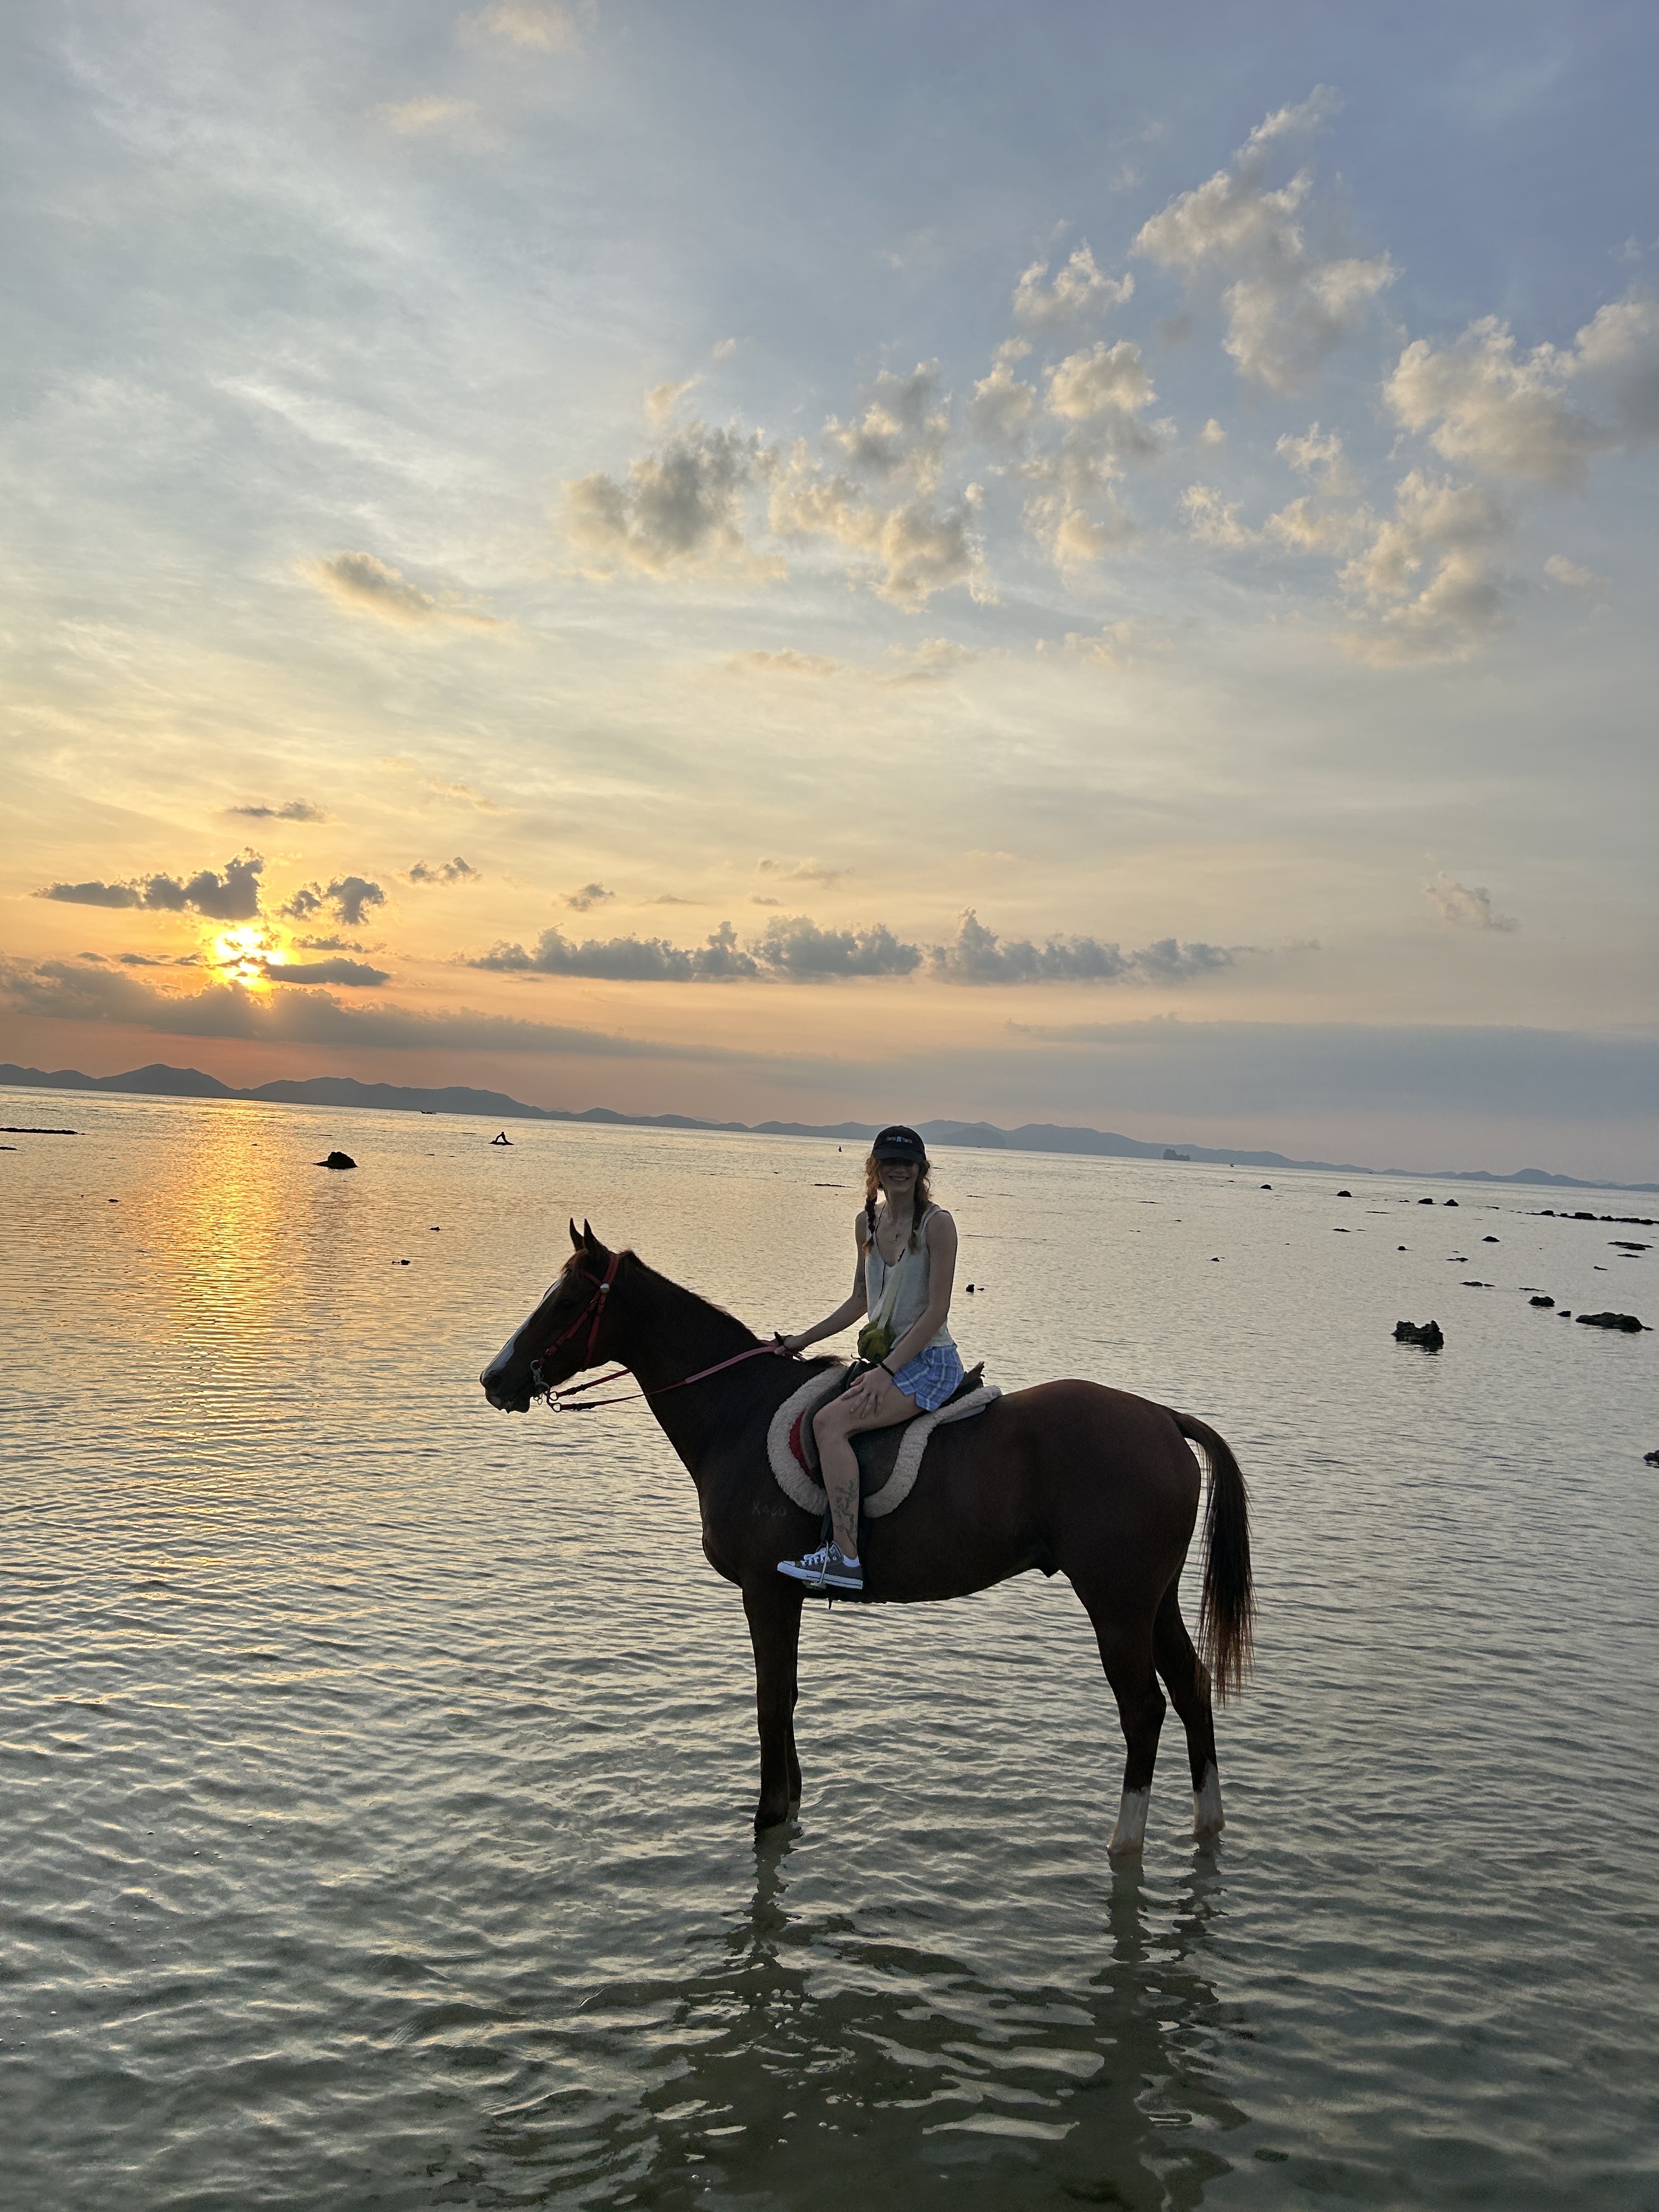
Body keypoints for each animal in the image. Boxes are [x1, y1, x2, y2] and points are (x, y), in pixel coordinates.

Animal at [480, 1221, 1255, 1862]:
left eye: (566, 1302)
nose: (495, 1378)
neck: (738, 1411)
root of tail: (1162, 1418)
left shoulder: (764, 1590)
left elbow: (769, 1700)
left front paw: (767, 1816)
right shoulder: (784, 1594)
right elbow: (788, 1696)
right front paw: (790, 1807)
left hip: (1116, 1604)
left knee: (1144, 1710)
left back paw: (1125, 1844)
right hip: (1152, 1600)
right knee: (1191, 1689)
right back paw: (1207, 1824)